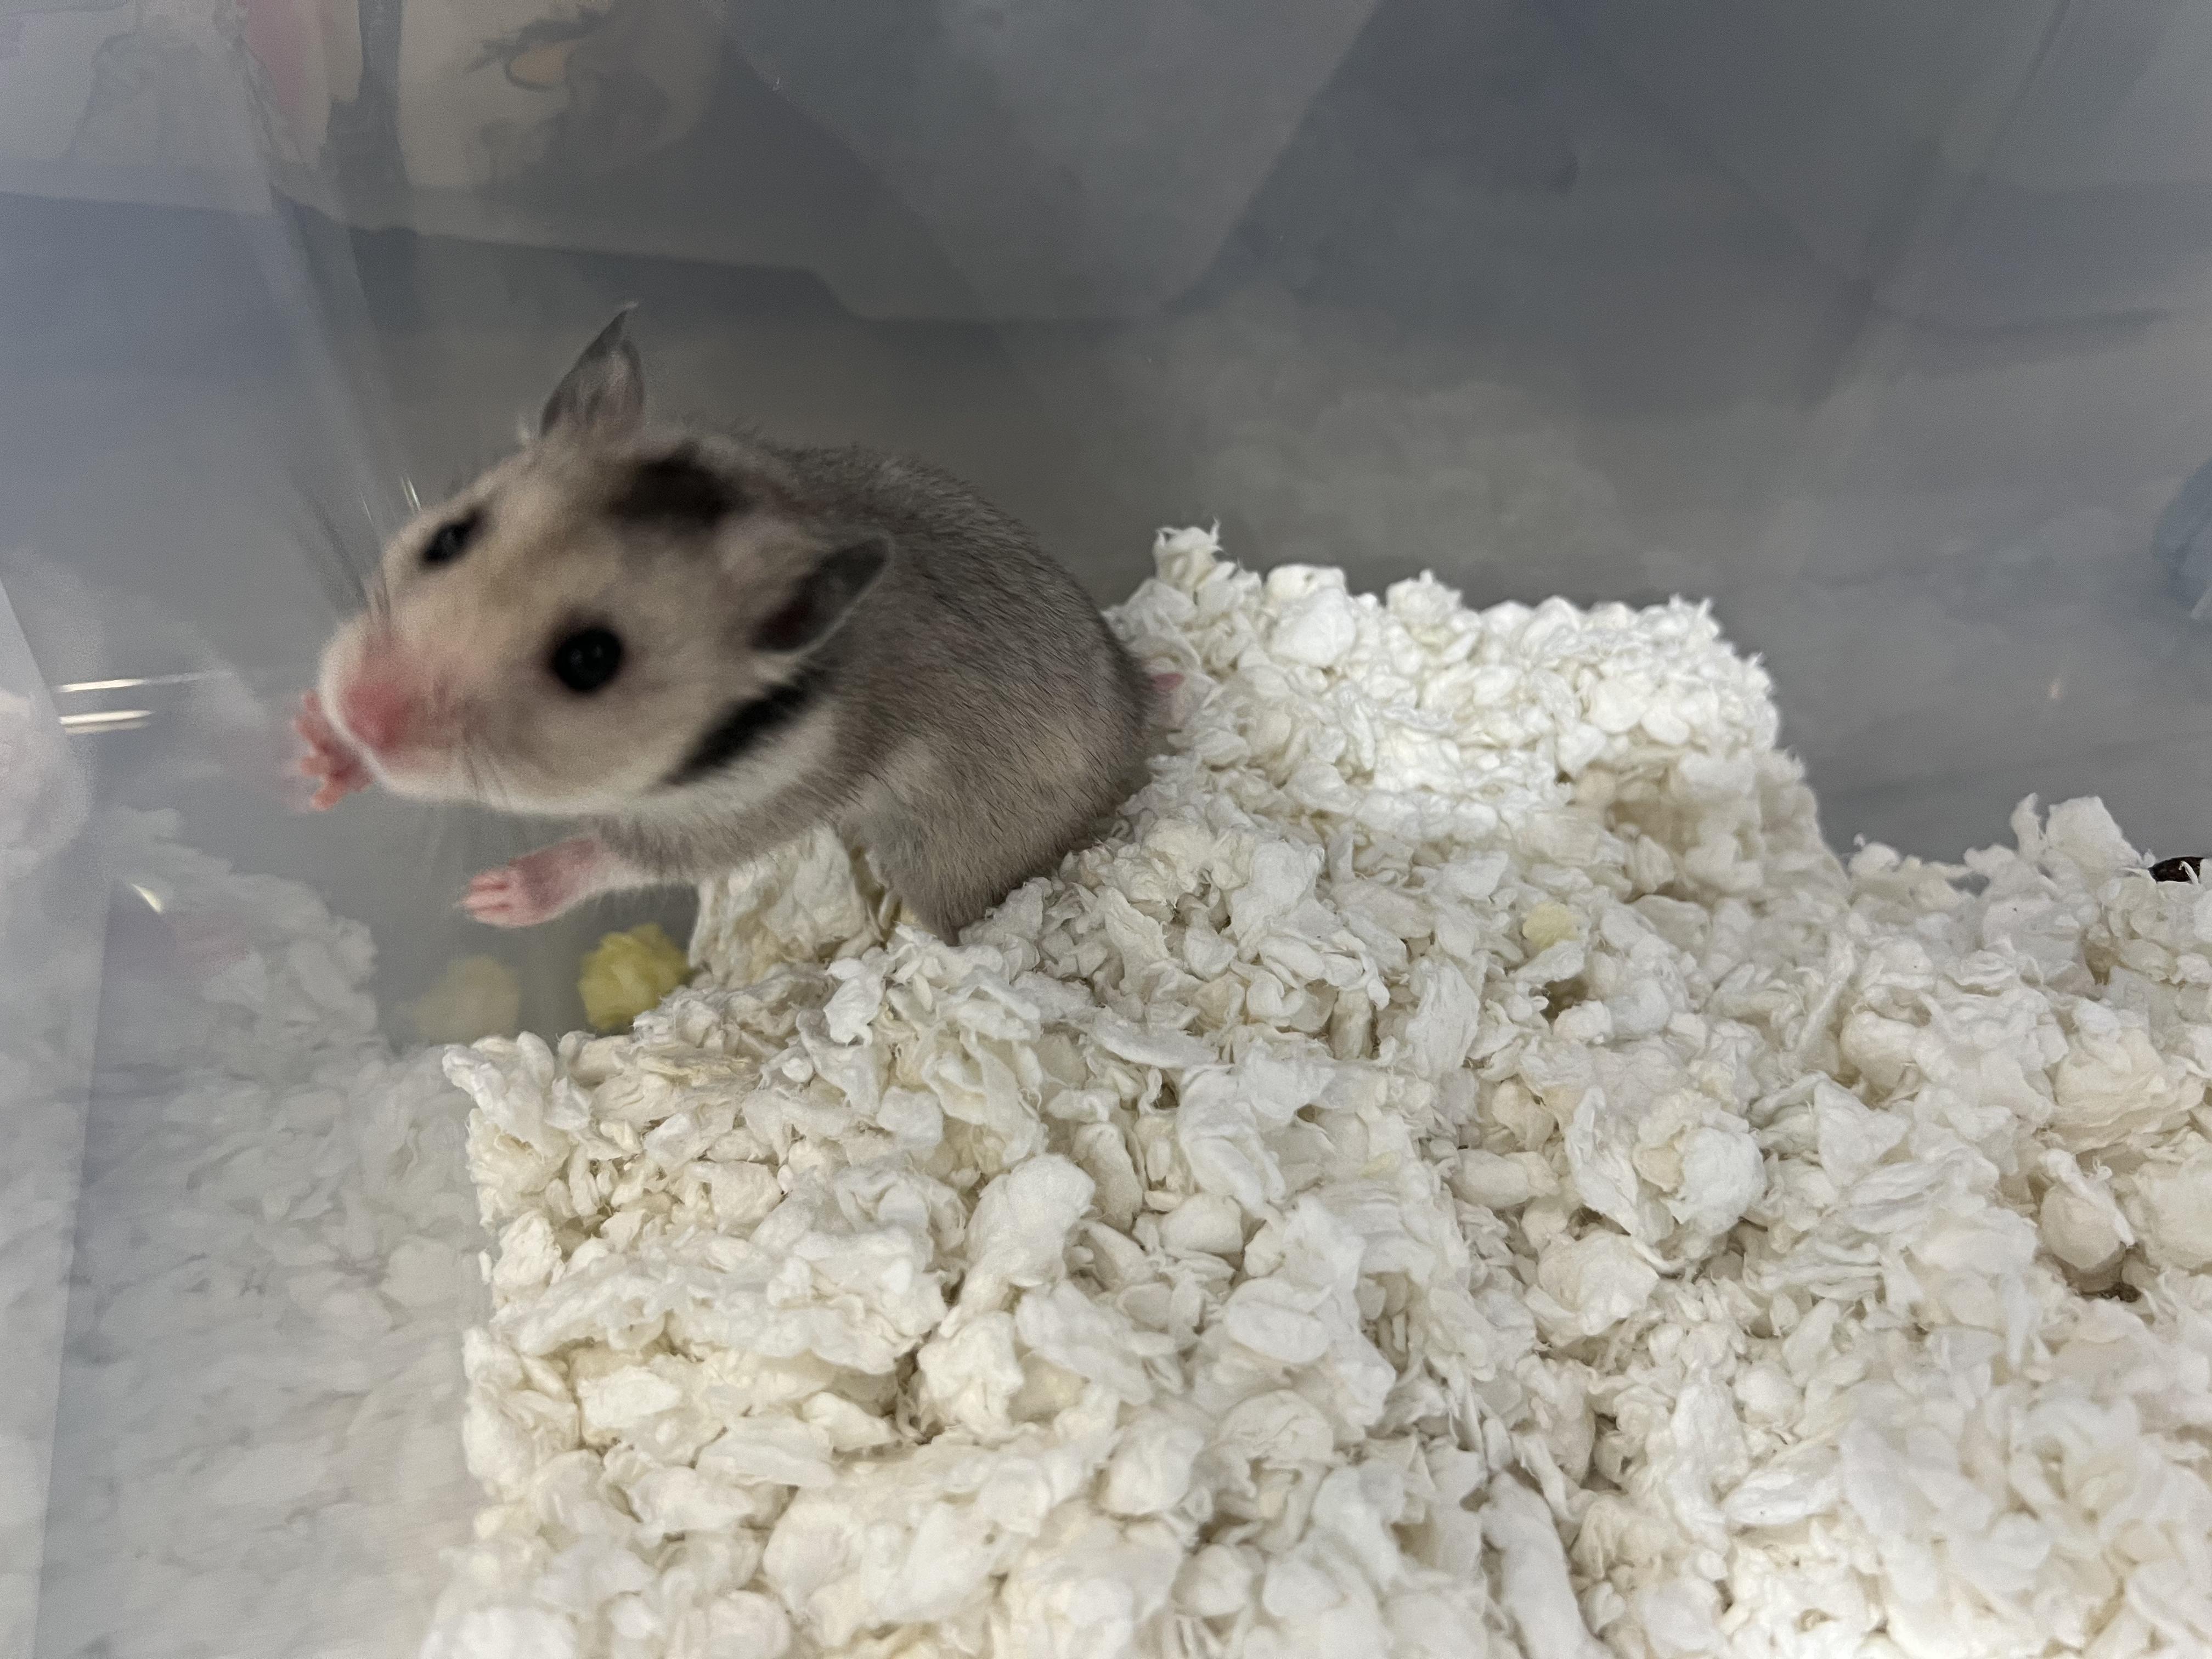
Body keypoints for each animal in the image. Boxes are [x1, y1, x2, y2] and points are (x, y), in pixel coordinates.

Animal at [297, 309, 1162, 938]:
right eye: (450, 536)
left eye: (590, 660)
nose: (362, 710)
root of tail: (1142, 726)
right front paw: (314, 750)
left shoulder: (740, 812)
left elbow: (622, 853)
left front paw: (490, 899)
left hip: (950, 863)